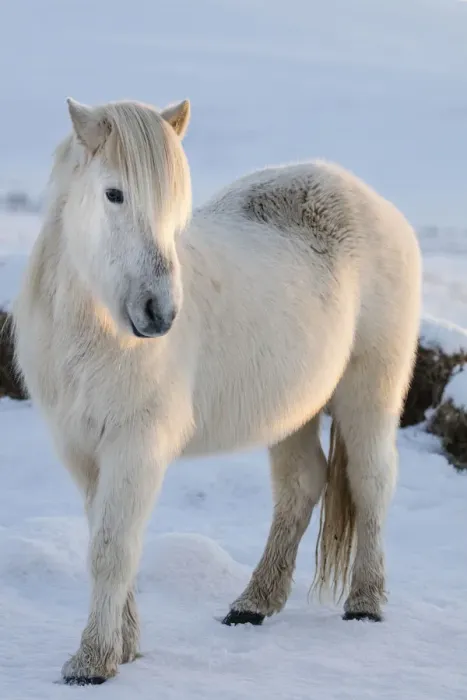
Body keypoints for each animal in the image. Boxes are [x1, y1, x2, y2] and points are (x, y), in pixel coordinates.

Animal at [12, 97, 421, 685]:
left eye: (175, 204)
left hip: (369, 391)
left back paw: (365, 603)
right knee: (302, 485)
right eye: (114, 193)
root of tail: (370, 200)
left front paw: (91, 662)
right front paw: (125, 649)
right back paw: (253, 603)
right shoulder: (84, 452)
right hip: (293, 410)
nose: (159, 313)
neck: (94, 330)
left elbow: (114, 550)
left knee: (371, 482)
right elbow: (106, 541)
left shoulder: (136, 448)